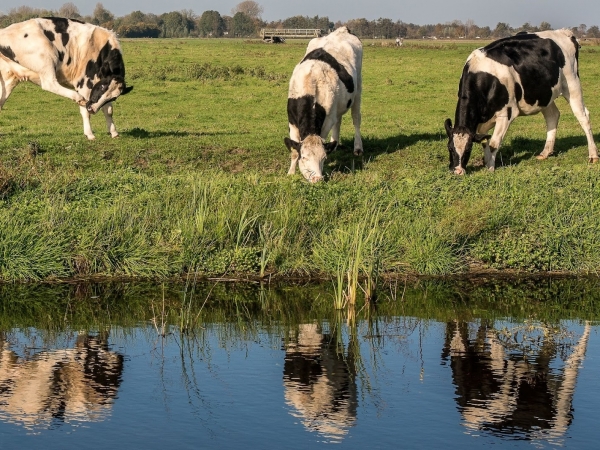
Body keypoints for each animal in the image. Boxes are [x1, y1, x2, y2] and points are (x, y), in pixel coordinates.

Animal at [0, 17, 134, 141]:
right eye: (102, 86)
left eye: (114, 97)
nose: (92, 109)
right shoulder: (84, 83)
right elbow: (85, 112)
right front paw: (89, 134)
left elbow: (109, 110)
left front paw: (114, 132)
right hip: (47, 57)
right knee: (49, 84)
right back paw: (78, 98)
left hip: (9, 77)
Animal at [284, 26, 364, 183]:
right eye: (305, 157)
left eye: (323, 158)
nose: (317, 179)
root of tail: (342, 30)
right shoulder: (292, 120)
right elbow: (294, 150)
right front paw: (291, 172)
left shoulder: (326, 121)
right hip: (338, 104)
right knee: (338, 121)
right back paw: (335, 144)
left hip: (358, 89)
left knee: (356, 119)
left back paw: (357, 148)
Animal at [442, 29, 596, 174]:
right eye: (449, 147)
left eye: (468, 149)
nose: (457, 171)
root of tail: (564, 32)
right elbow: (485, 142)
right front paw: (486, 162)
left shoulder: (506, 114)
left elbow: (493, 143)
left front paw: (490, 168)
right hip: (544, 94)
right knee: (553, 115)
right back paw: (545, 153)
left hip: (572, 85)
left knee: (583, 117)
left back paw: (593, 155)